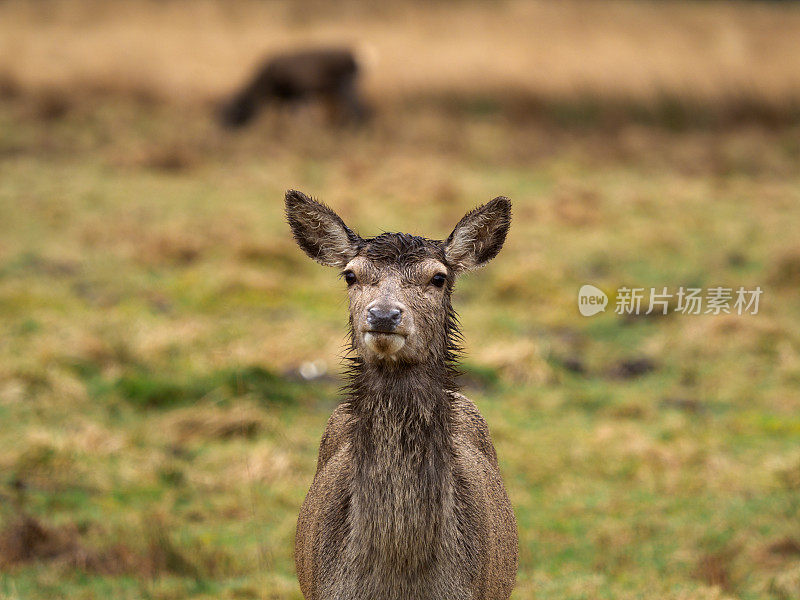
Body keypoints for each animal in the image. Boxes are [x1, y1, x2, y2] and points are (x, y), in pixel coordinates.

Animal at [219, 48, 368, 129]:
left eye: (235, 111)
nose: (224, 129)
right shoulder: (288, 97)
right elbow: (285, 115)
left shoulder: (297, 94)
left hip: (345, 88)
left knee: (361, 110)